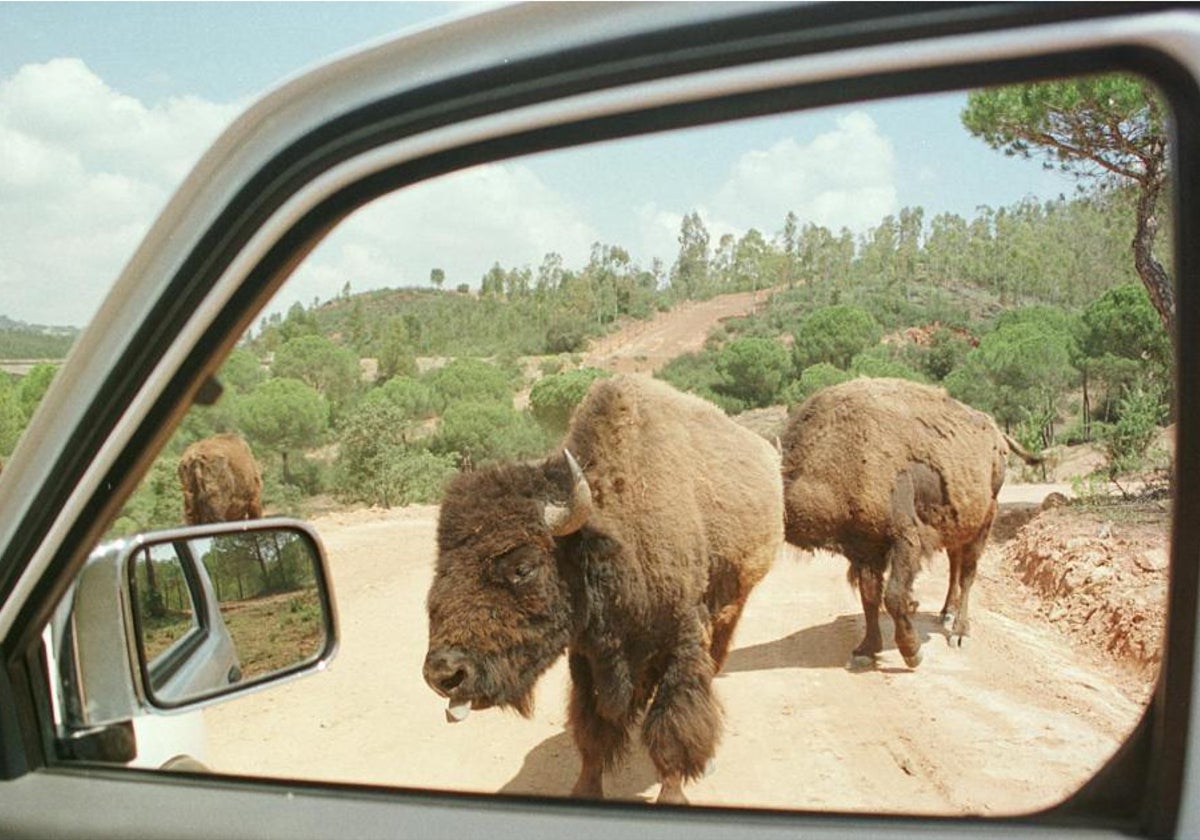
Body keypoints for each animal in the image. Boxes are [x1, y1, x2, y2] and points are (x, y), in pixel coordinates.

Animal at [424, 372, 787, 801]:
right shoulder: (587, 655)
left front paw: (672, 792)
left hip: (732, 604)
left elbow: (671, 725)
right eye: (442, 567)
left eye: (523, 567)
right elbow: (593, 727)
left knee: (712, 667)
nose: (445, 674)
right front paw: (585, 789)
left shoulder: (682, 638)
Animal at [777, 376, 1041, 672]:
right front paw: (866, 649)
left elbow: (892, 596)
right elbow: (870, 596)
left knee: (968, 574)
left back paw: (959, 632)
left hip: (984, 520)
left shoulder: (905, 539)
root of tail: (997, 432)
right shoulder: (864, 550)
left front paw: (911, 651)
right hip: (956, 526)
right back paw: (946, 613)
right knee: (955, 566)